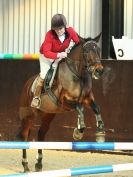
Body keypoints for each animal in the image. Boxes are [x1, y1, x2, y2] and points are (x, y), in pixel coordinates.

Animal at [17, 32, 105, 171]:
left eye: (98, 50)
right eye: (86, 51)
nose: (99, 70)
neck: (78, 74)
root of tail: (26, 85)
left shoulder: (87, 98)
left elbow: (96, 107)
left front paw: (100, 131)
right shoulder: (64, 102)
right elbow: (80, 108)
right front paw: (78, 132)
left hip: (47, 115)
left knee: (41, 135)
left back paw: (38, 164)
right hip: (28, 116)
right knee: (24, 136)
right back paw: (25, 166)